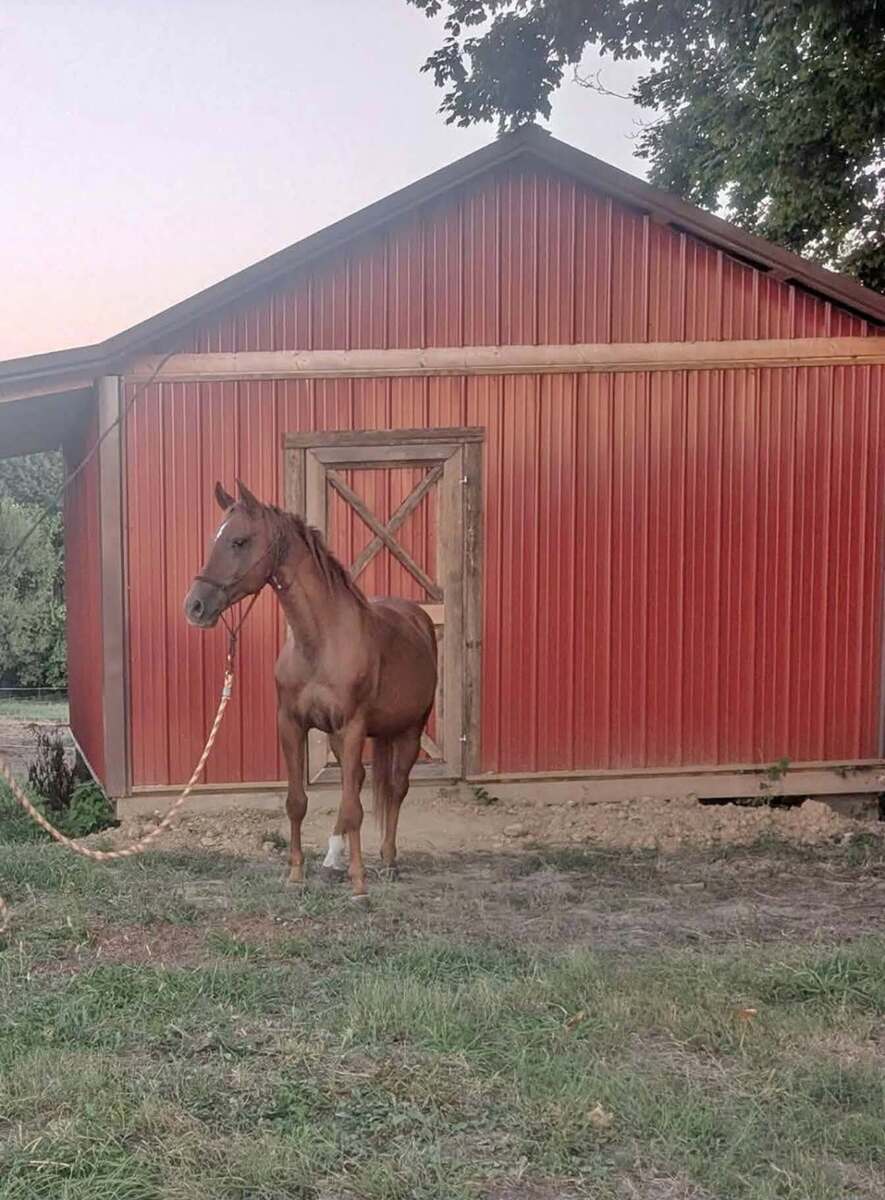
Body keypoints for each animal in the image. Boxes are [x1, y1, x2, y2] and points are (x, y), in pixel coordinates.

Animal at [183, 480, 438, 899]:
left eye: (238, 541)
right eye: (211, 540)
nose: (195, 607)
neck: (320, 642)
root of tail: (417, 617)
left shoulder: (353, 726)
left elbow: (354, 808)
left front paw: (359, 883)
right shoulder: (292, 724)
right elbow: (298, 802)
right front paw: (296, 874)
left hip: (410, 730)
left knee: (395, 788)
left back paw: (388, 861)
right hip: (340, 736)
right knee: (358, 782)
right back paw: (333, 862)